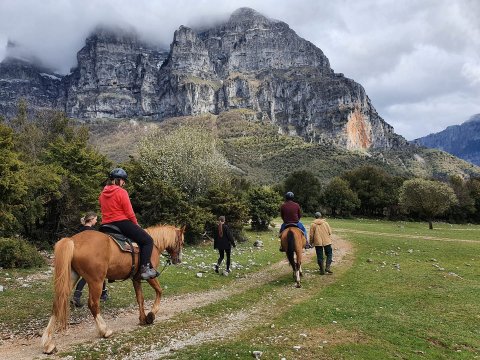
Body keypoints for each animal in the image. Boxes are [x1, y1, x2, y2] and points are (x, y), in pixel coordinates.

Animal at [41, 225, 185, 354]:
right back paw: (105, 330)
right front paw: (151, 315)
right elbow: (159, 291)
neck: (153, 244)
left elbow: (140, 298)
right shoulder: (150, 276)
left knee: (57, 303)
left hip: (72, 277)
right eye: (182, 241)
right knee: (93, 304)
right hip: (96, 281)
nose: (178, 260)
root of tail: (73, 241)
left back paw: (47, 343)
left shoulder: (136, 279)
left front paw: (143, 319)